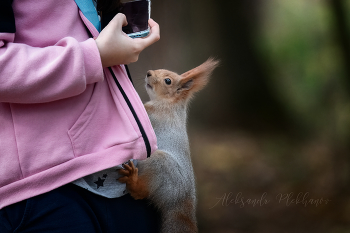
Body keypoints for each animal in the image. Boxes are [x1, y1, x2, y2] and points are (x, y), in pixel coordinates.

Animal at [119, 58, 220, 233]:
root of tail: (181, 204)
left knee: (141, 193)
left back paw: (133, 181)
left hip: (162, 165)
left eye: (168, 81)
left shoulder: (152, 113)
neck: (170, 104)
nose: (149, 73)